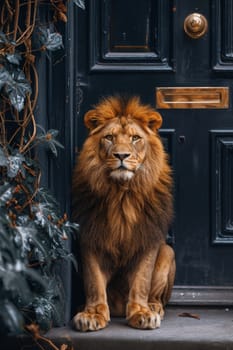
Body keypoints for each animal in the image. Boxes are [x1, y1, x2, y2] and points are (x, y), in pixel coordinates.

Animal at [72, 95, 176, 330]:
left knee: (156, 295)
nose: (121, 155)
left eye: (135, 138)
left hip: (168, 251)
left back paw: (154, 307)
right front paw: (92, 314)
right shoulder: (90, 236)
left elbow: (141, 281)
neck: (121, 194)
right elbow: (94, 281)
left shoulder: (148, 238)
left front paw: (142, 313)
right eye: (109, 137)